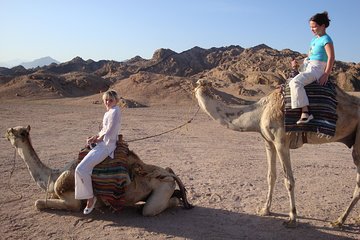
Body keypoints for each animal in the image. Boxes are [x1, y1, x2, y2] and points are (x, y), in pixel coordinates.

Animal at [4, 125, 193, 216]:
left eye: (12, 132)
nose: (5, 134)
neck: (53, 176)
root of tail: (169, 173)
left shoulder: (71, 200)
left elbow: (38, 203)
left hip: (163, 187)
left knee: (149, 209)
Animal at [195, 79, 358, 227]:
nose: (198, 85)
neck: (260, 112)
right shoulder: (269, 143)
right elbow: (271, 176)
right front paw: (265, 210)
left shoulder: (281, 142)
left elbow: (289, 181)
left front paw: (292, 218)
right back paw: (343, 220)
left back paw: (339, 220)